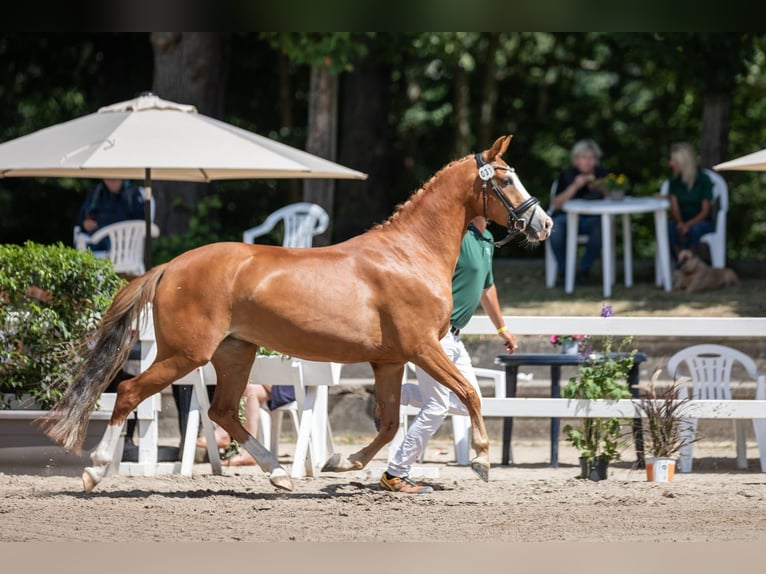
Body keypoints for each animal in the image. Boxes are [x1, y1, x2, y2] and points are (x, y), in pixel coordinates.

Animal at [40, 135, 552, 496]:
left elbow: (390, 422)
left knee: (223, 410)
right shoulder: (422, 347)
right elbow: (468, 393)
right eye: (506, 179)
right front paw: (483, 460)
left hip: (234, 353)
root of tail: (170, 267)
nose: (543, 224)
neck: (409, 254)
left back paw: (280, 474)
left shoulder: (389, 360)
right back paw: (95, 472)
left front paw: (341, 463)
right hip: (185, 355)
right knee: (129, 393)